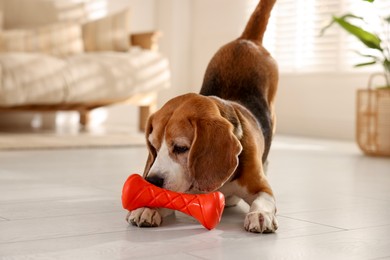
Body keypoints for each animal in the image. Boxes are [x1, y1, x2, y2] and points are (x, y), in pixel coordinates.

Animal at [127, 0, 278, 234]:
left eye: (181, 148)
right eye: (153, 147)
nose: (152, 181)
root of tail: (246, 40)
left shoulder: (262, 188)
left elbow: (263, 200)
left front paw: (260, 215)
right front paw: (148, 207)